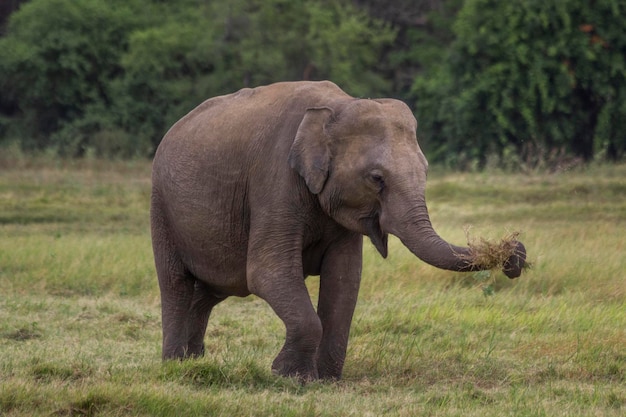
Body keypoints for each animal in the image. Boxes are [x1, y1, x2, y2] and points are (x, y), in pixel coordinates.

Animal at [149, 80, 524, 380]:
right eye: (376, 178)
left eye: (427, 170)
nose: (515, 256)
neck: (337, 106)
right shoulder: (275, 180)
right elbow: (268, 272)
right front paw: (290, 378)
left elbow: (344, 279)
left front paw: (326, 379)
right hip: (161, 205)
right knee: (176, 283)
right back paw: (174, 366)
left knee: (212, 290)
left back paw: (193, 362)